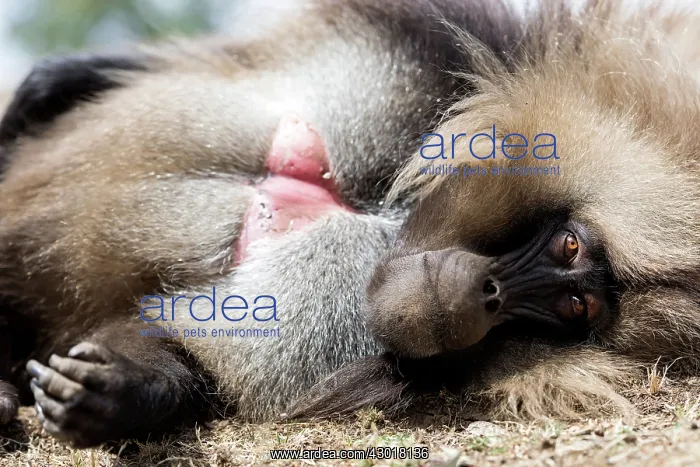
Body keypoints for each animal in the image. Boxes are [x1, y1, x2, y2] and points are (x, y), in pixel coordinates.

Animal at [0, 0, 697, 449]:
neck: (386, 215)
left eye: (573, 310)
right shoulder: (427, 56)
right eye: (569, 246)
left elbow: (176, 343)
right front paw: (48, 85)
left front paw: (118, 392)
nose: (484, 297)